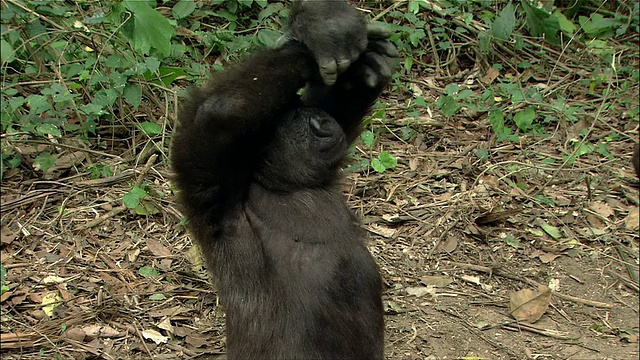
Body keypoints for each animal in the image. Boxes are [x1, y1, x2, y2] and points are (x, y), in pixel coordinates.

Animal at [170, 1, 400, 358]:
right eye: (293, 119)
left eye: (301, 107)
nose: (318, 120)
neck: (283, 185)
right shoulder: (214, 191)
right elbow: (217, 111)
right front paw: (323, 32)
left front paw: (342, 43)